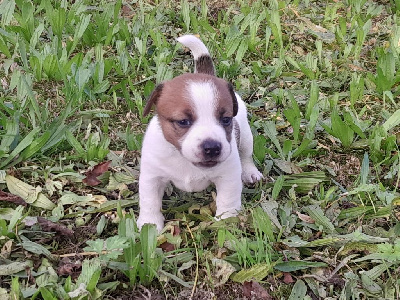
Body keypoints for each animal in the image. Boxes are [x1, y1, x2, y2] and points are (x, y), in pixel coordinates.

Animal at [137, 35, 262, 232]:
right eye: (183, 122)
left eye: (226, 119)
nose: (212, 147)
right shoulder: (152, 177)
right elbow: (149, 201)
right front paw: (149, 225)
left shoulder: (228, 176)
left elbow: (228, 199)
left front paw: (226, 221)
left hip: (246, 137)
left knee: (246, 155)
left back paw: (250, 172)